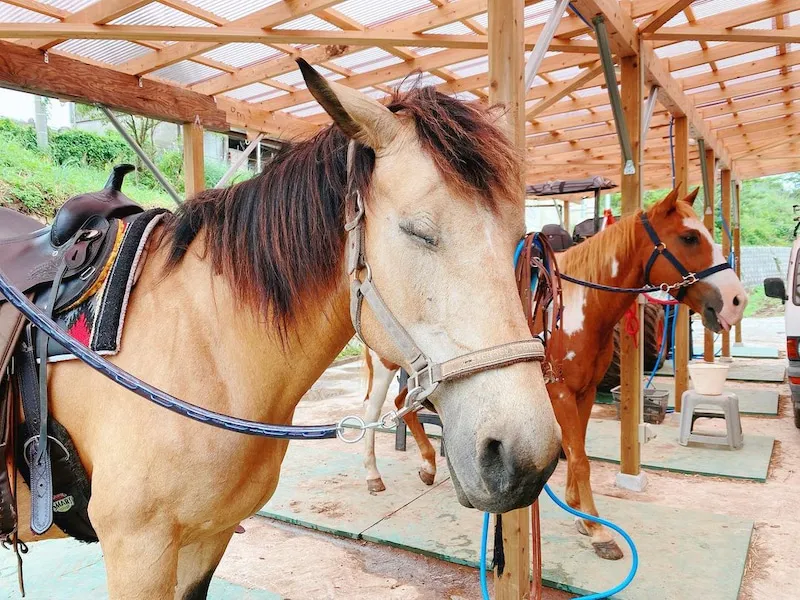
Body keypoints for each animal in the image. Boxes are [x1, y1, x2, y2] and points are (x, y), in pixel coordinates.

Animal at [0, 58, 564, 596]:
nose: (526, 458)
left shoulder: (206, 538)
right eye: (418, 232)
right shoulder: (138, 548)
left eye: (518, 238)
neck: (204, 344)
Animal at [360, 185, 748, 560]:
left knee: (402, 404)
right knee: (373, 408)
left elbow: (579, 451)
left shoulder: (586, 391)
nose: (736, 301)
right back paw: (373, 476)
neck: (579, 307)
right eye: (689, 238)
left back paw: (427, 466)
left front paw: (579, 511)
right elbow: (580, 458)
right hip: (388, 364)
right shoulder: (559, 392)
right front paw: (598, 530)